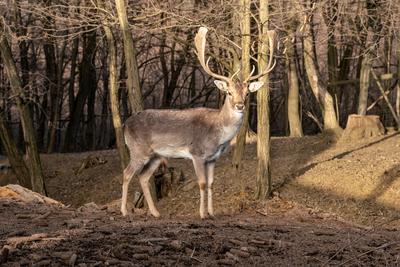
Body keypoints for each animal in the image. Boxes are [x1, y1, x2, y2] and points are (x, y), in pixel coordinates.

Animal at [119, 27, 276, 219]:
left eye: (247, 93)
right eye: (229, 92)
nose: (240, 105)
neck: (218, 137)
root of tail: (125, 124)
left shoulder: (213, 158)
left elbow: (211, 183)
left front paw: (212, 213)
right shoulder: (197, 153)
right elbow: (201, 183)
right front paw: (202, 214)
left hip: (156, 155)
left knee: (143, 176)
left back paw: (156, 213)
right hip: (137, 149)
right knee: (127, 174)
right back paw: (124, 211)